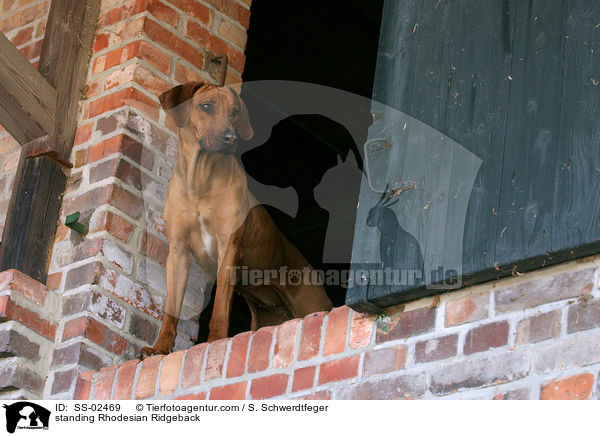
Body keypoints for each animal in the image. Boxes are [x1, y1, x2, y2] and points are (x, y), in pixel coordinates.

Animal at [139, 82, 332, 358]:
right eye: (206, 106)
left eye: (235, 112)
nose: (231, 138)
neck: (200, 179)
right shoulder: (178, 250)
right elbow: (171, 310)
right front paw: (160, 348)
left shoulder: (228, 247)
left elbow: (220, 306)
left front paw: (214, 341)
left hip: (310, 305)